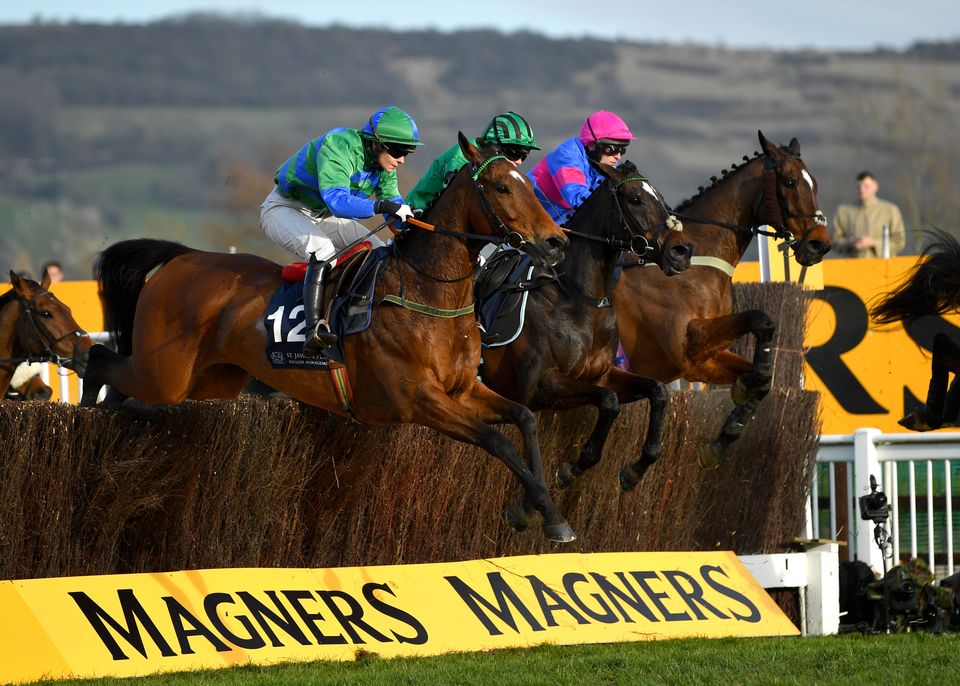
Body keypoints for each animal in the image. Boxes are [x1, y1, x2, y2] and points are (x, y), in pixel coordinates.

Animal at [79, 133, 576, 544]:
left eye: (527, 183)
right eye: (502, 187)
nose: (556, 242)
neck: (425, 291)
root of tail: (183, 257)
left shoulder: (464, 389)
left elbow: (525, 420)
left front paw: (541, 511)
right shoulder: (419, 399)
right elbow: (499, 441)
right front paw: (546, 516)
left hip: (210, 379)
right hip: (164, 372)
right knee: (101, 357)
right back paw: (88, 411)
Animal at [478, 161, 688, 500]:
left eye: (661, 197)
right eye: (635, 199)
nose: (682, 250)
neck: (581, 298)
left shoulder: (602, 374)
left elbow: (657, 392)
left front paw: (635, 470)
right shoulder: (540, 386)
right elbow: (609, 402)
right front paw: (572, 468)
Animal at [616, 132, 832, 490]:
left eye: (814, 183)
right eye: (789, 181)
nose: (820, 244)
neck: (693, 262)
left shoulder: (704, 360)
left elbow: (764, 377)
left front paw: (722, 436)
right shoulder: (687, 349)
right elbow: (761, 318)